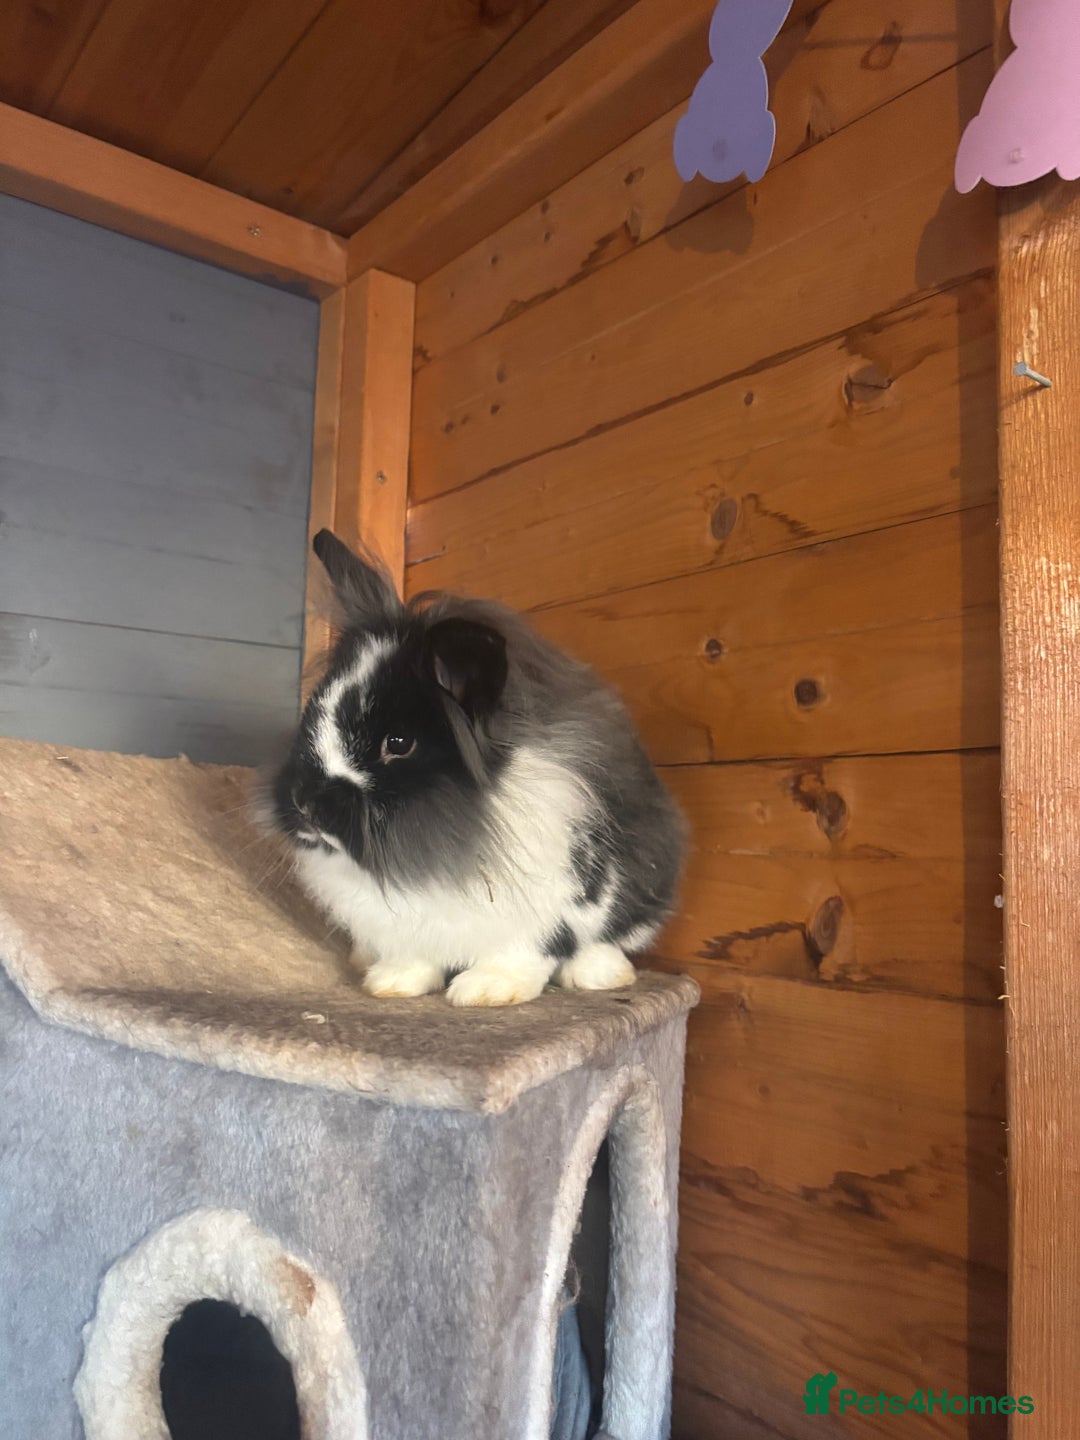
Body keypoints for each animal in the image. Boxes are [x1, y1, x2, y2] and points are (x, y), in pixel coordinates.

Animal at [268, 530, 686, 1007]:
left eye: (398, 743)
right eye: (312, 711)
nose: (304, 803)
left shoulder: (553, 904)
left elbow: (527, 951)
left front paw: (485, 990)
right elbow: (411, 957)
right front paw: (391, 984)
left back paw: (600, 975)